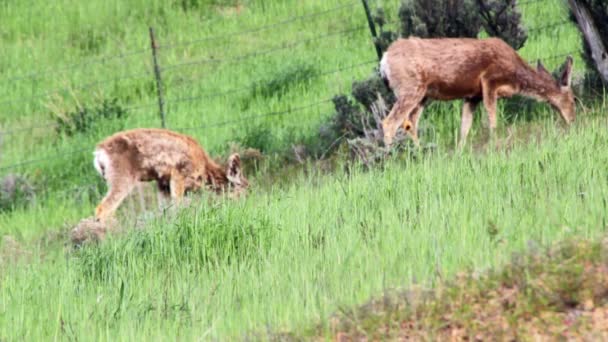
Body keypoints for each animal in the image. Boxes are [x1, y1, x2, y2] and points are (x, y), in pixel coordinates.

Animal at [92, 128, 249, 222]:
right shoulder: (178, 174)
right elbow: (176, 207)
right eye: (244, 189)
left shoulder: (162, 183)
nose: (247, 206)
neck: (204, 169)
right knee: (103, 209)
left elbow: (164, 210)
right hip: (122, 176)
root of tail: (99, 153)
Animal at [380, 36, 576, 148]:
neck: (515, 76)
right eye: (574, 99)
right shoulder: (490, 80)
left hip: (423, 95)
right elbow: (492, 118)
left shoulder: (472, 96)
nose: (573, 121)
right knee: (389, 122)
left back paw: (421, 154)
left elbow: (465, 128)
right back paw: (391, 159)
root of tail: (384, 60)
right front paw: (495, 144)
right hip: (410, 88)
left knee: (411, 123)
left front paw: (460, 153)